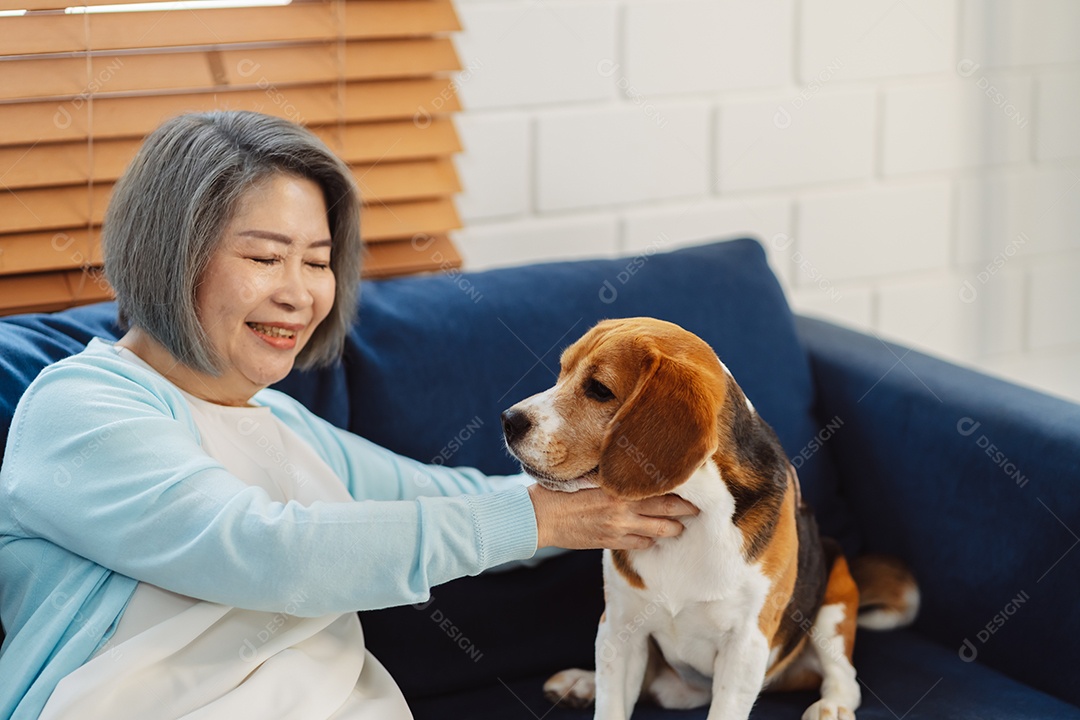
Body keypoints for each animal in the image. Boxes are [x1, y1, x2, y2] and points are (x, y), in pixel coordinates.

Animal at [501, 317, 915, 720]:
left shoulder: (746, 644)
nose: (508, 419)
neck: (695, 515)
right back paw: (581, 683)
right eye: (562, 373)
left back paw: (832, 707)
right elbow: (612, 704)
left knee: (845, 679)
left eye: (600, 390)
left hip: (834, 598)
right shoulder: (619, 626)